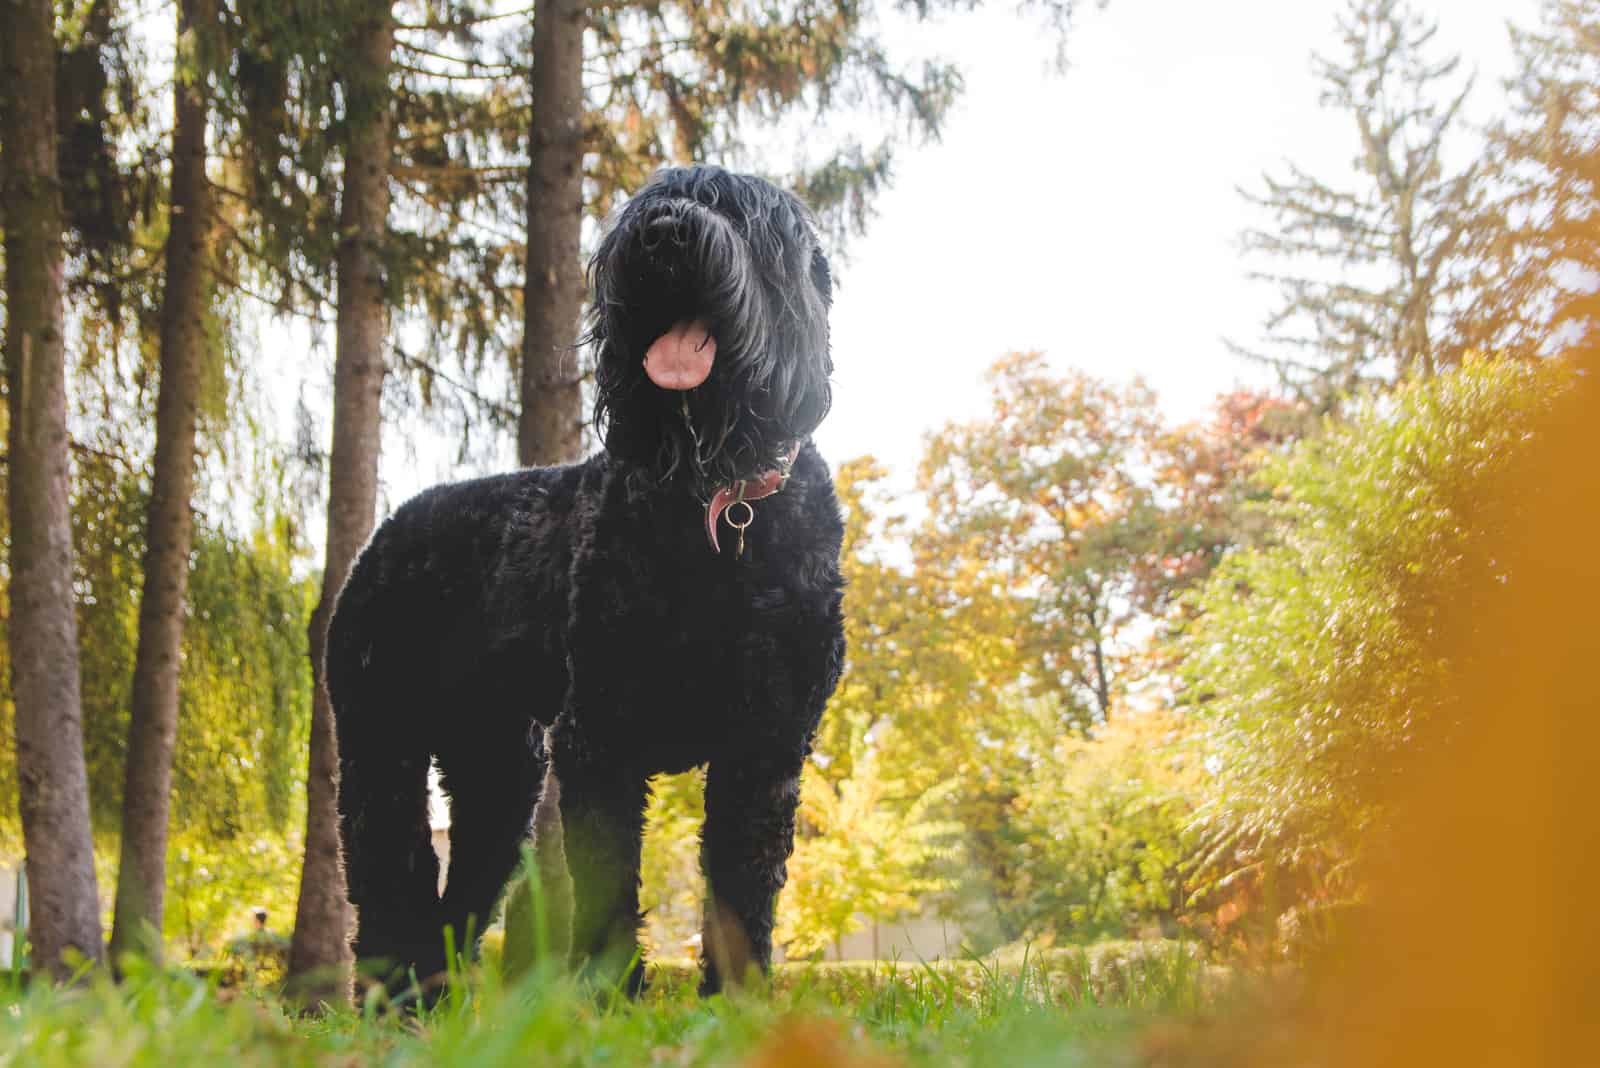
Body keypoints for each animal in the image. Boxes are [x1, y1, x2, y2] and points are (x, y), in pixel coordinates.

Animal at [326, 164, 851, 991]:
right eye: (647, 203)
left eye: (740, 211)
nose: (664, 231)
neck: (715, 504)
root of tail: (387, 530)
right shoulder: (602, 736)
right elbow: (608, 882)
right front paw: (607, 994)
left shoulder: (766, 746)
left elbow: (743, 886)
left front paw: (738, 1000)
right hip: (382, 743)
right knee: (390, 883)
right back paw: (395, 1001)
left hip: (498, 773)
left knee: (455, 900)